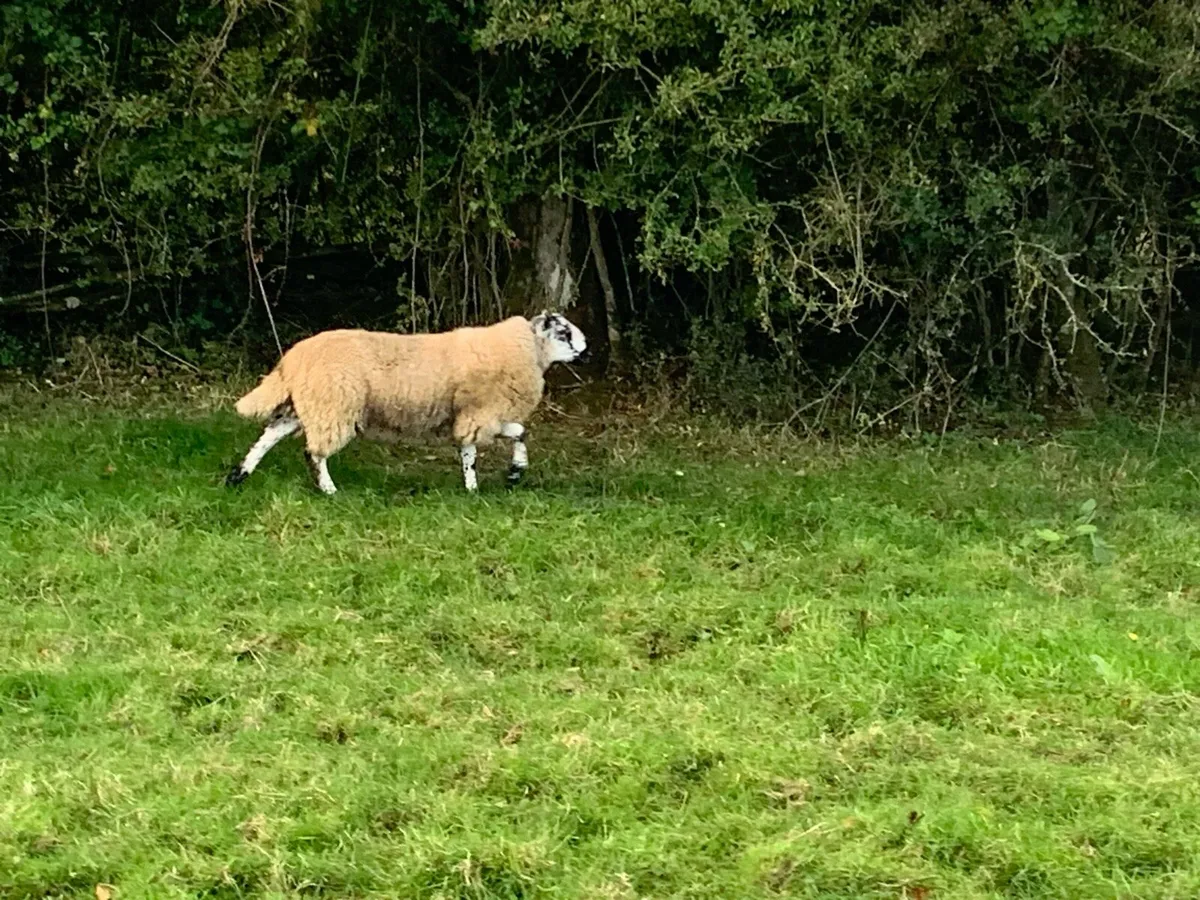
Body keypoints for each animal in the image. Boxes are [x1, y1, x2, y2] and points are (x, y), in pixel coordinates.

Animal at [225, 312, 588, 494]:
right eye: (564, 332)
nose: (587, 351)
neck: (528, 350)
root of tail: (294, 358)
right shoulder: (481, 414)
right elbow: (514, 434)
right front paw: (504, 476)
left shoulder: (470, 417)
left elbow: (477, 449)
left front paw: (478, 486)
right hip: (333, 406)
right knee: (313, 453)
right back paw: (328, 489)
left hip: (309, 405)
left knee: (269, 435)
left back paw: (238, 476)